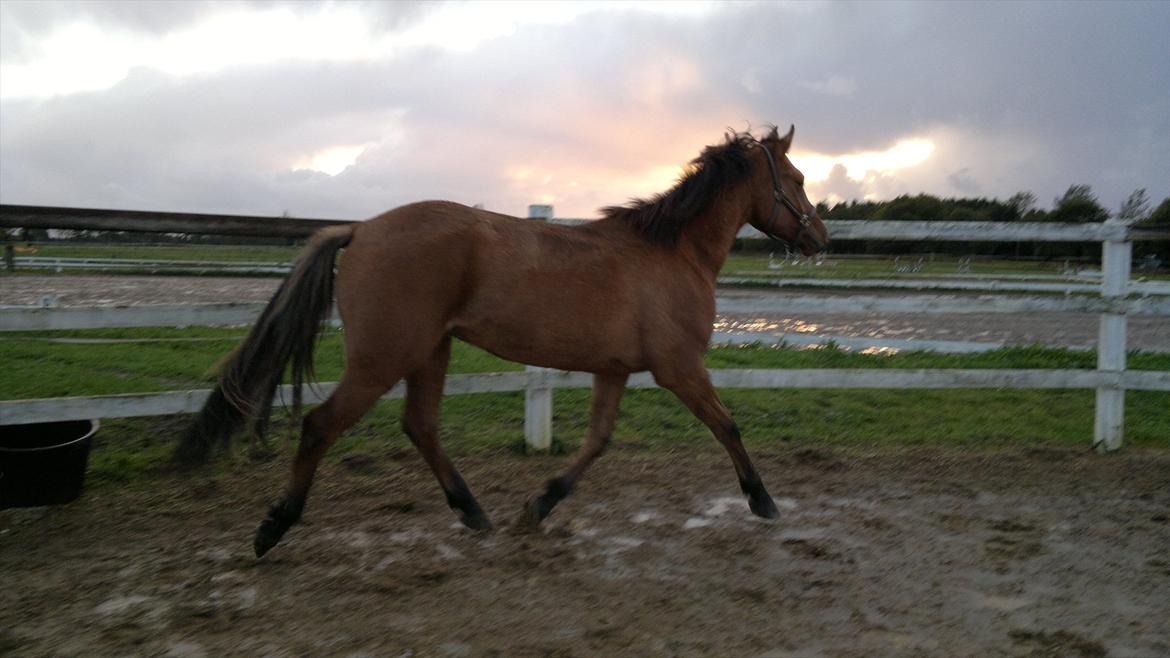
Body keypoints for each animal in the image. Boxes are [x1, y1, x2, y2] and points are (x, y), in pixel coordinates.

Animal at [174, 125, 829, 557]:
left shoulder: (614, 369)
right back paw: (273, 528)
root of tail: (360, 230)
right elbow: (728, 426)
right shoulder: (680, 367)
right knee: (321, 426)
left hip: (429, 351)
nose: (819, 236)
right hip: (384, 356)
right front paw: (763, 502)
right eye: (796, 179)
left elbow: (597, 442)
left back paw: (474, 511)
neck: (671, 253)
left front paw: (538, 506)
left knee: (420, 426)